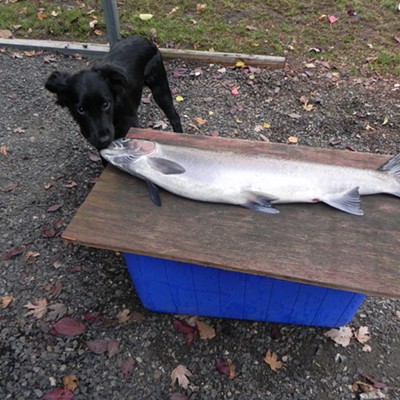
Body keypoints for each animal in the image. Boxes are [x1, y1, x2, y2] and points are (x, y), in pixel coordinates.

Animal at [45, 36, 183, 150]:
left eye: (106, 104)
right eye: (81, 110)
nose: (103, 139)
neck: (114, 114)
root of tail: (145, 39)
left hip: (160, 90)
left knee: (174, 117)